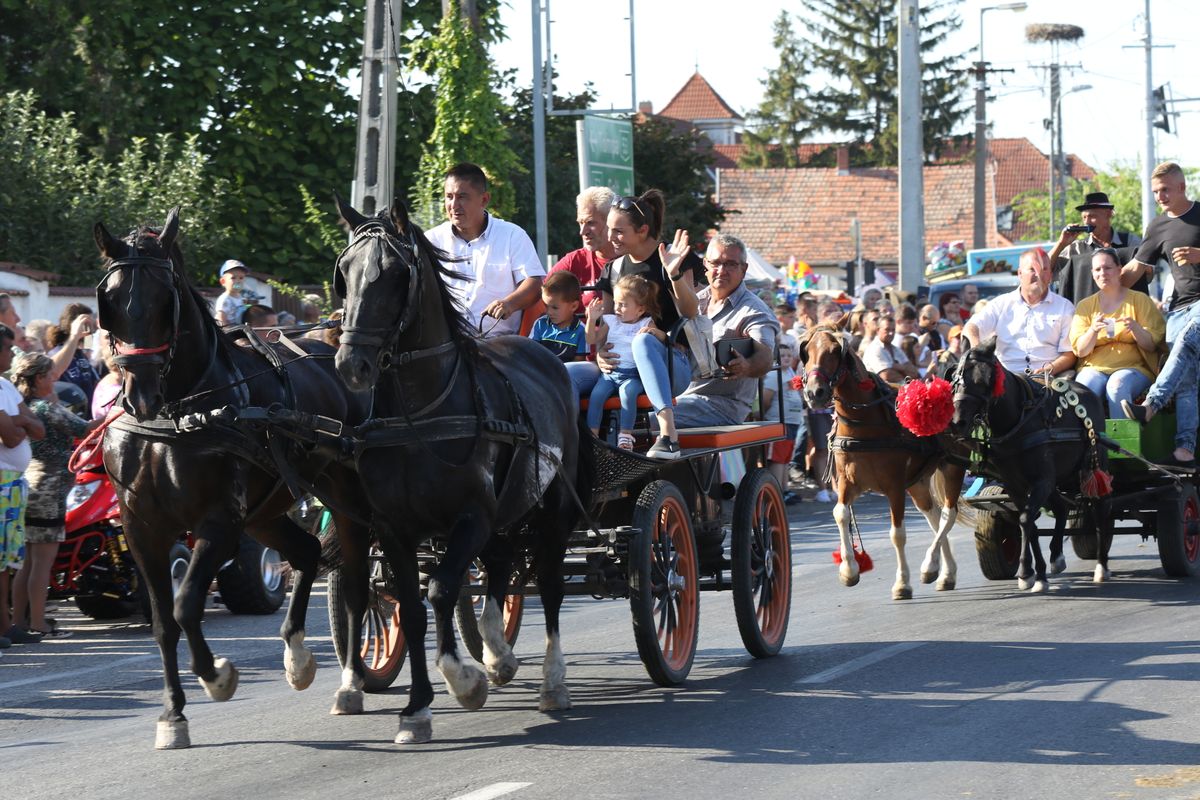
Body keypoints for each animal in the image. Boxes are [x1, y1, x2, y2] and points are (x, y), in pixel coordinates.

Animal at [95, 209, 369, 748]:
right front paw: (172, 715)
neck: (178, 416)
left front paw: (217, 676)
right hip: (265, 513)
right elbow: (163, 621)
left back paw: (351, 680)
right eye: (110, 302)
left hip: (345, 498)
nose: (139, 394)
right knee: (307, 552)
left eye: (164, 299)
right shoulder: (141, 528)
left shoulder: (218, 522)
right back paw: (297, 657)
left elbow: (186, 605)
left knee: (355, 583)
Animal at [333, 196, 590, 748]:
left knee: (550, 583)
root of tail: (547, 356)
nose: (350, 365)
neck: (422, 414)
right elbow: (412, 606)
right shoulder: (394, 528)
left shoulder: (471, 516)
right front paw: (417, 709)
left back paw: (552, 681)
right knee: (500, 564)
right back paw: (497, 652)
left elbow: (440, 590)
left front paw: (463, 682)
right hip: (508, 509)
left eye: (392, 275)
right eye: (345, 273)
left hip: (554, 509)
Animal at [796, 326, 964, 599]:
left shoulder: (894, 486)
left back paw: (930, 564)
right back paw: (945, 572)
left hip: (953, 466)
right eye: (806, 352)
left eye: (834, 351)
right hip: (916, 482)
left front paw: (902, 583)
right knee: (934, 516)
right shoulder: (847, 482)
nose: (814, 393)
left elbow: (897, 534)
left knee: (948, 515)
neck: (864, 424)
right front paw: (849, 570)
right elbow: (840, 514)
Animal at [950, 335, 1108, 592]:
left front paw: (1026, 572)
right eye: (955, 378)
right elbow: (1030, 524)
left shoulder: (1041, 480)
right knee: (1062, 507)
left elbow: (1025, 520)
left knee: (1101, 508)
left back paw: (1102, 567)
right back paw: (1057, 556)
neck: (1019, 421)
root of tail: (1089, 393)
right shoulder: (1015, 484)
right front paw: (1038, 574)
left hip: (1095, 465)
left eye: (986, 380)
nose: (958, 422)